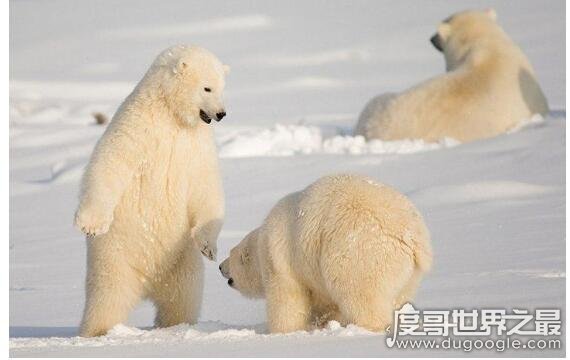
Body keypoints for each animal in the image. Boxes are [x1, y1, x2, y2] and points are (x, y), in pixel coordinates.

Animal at [74, 45, 229, 338]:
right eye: (207, 88)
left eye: (222, 87)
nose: (222, 113)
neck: (170, 114)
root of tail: (148, 282)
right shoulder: (137, 127)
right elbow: (111, 162)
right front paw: (91, 224)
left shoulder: (196, 144)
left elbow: (205, 185)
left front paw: (209, 247)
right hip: (115, 258)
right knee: (107, 299)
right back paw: (98, 331)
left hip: (181, 261)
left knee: (183, 298)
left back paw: (177, 325)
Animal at [217, 174, 430, 332]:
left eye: (231, 256)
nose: (220, 266)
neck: (262, 242)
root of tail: (412, 235)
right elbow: (325, 304)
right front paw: (321, 323)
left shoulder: (281, 262)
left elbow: (287, 299)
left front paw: (283, 331)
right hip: (410, 273)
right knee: (399, 296)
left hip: (360, 253)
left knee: (361, 293)